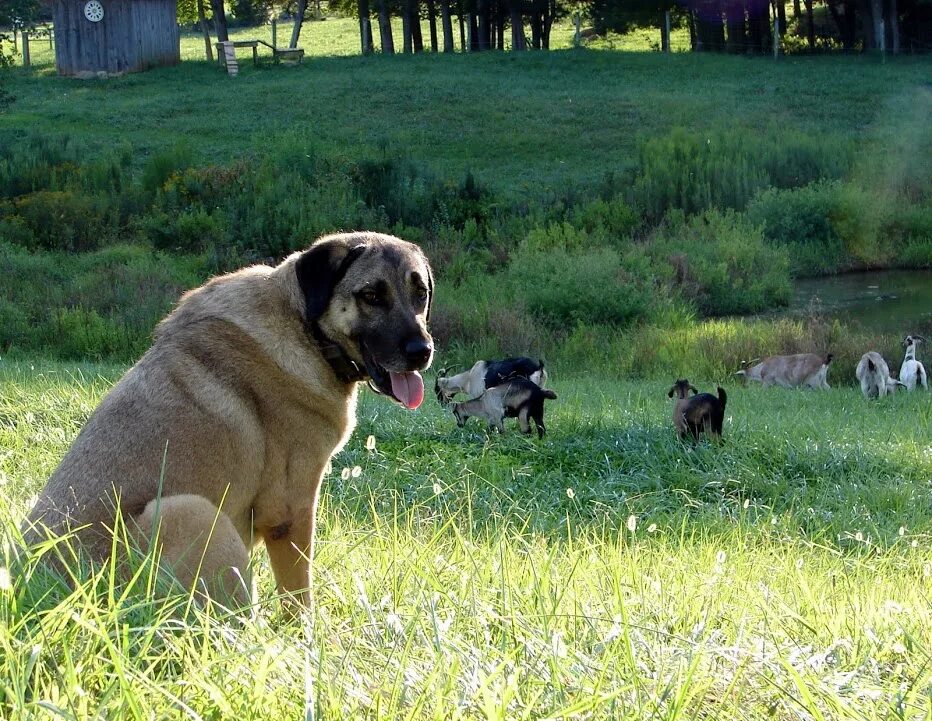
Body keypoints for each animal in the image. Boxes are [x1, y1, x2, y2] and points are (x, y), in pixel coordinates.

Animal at [23, 231, 436, 608]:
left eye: (420, 293)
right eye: (371, 295)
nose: (422, 351)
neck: (304, 326)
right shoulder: (290, 510)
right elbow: (299, 599)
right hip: (191, 512)